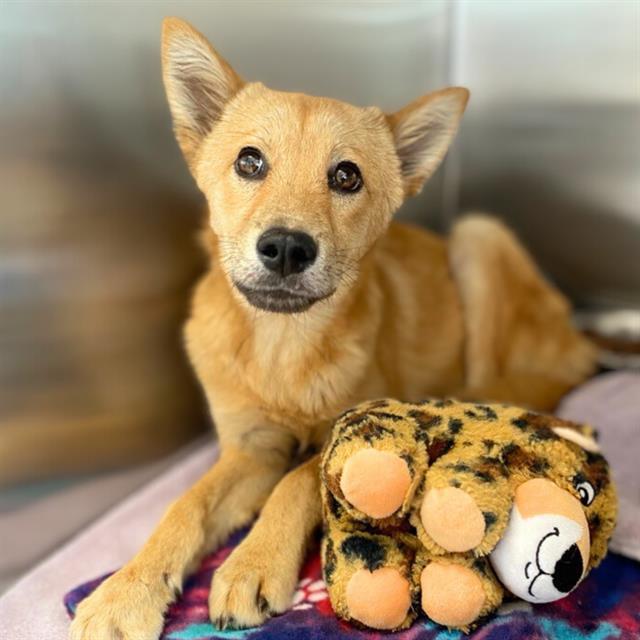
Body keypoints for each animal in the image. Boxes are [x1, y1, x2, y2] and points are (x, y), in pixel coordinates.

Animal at [70, 17, 596, 636]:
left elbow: (297, 480)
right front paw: (125, 591)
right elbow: (187, 506)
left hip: (479, 236)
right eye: (249, 162)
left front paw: (253, 561)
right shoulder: (251, 450)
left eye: (346, 176)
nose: (286, 248)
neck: (283, 350)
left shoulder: (348, 433)